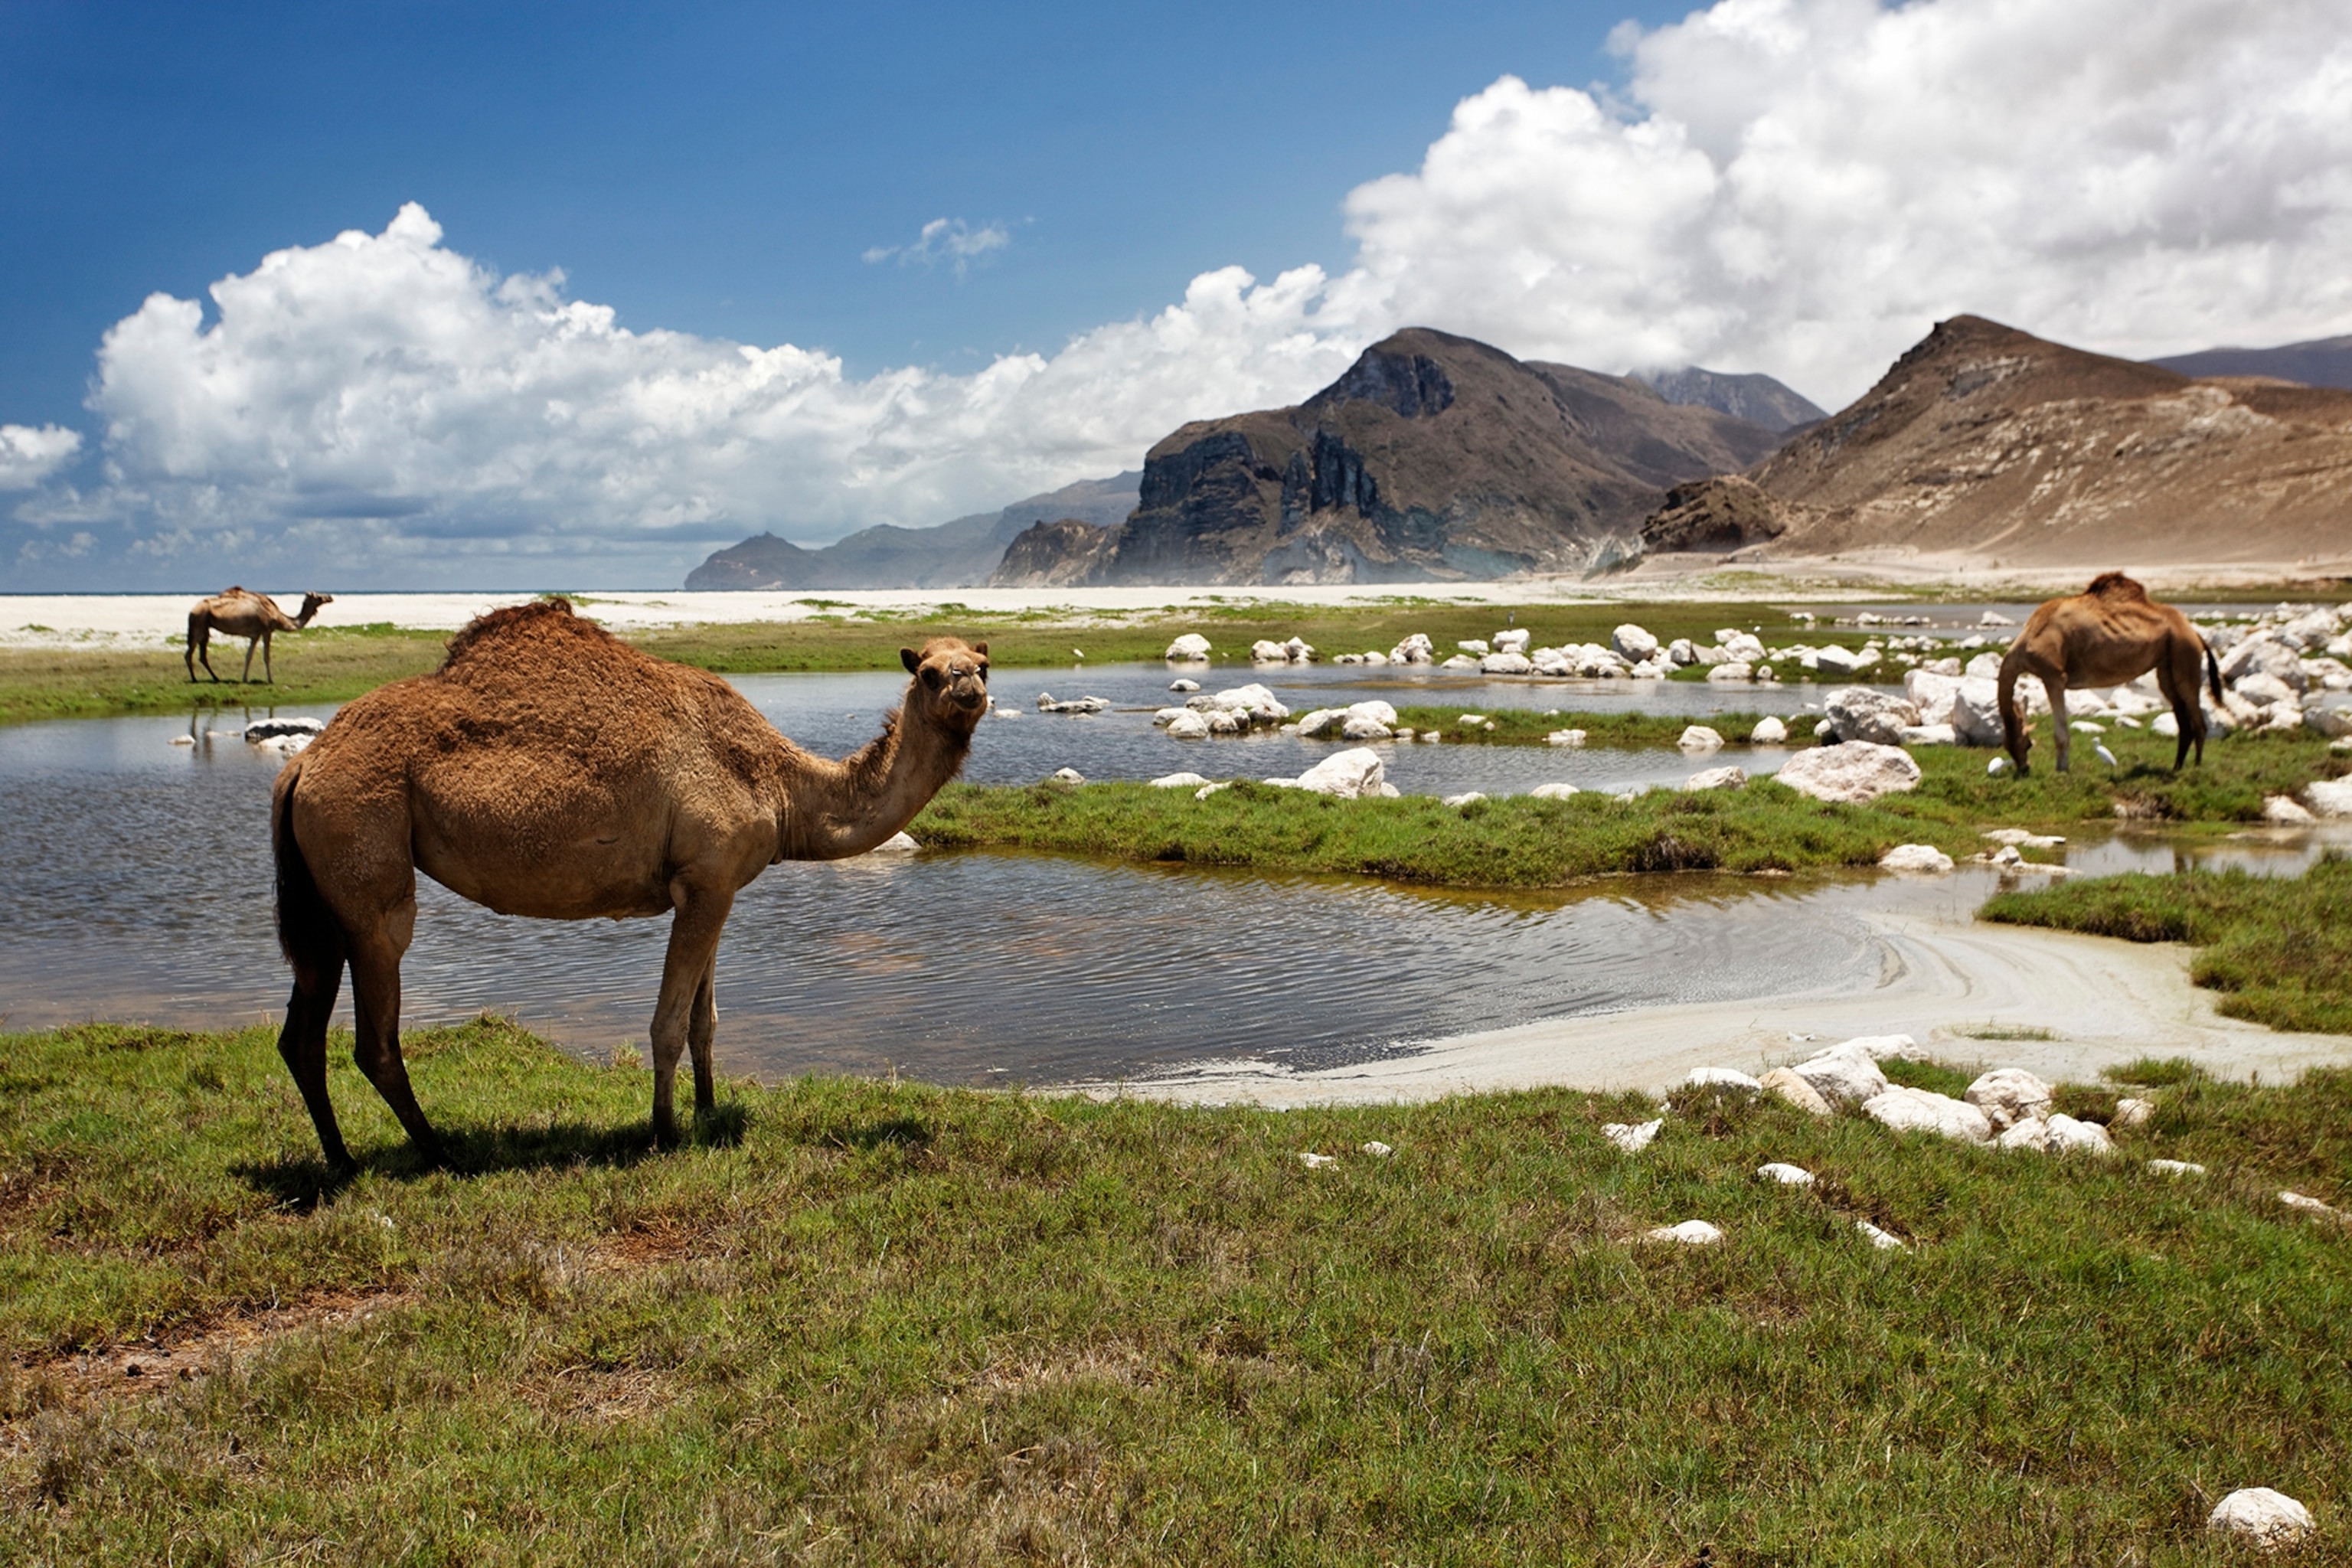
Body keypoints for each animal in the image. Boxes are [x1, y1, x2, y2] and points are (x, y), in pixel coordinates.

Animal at [185, 587, 334, 683]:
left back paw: (215, 678)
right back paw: (195, 679)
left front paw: (245, 679)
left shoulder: (255, 635)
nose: (330, 597)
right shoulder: (266, 631)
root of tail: (192, 611)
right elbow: (266, 657)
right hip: (199, 623)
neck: (279, 617)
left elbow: (248, 656)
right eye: (319, 597)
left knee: (201, 655)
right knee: (189, 653)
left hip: (204, 627)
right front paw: (270, 680)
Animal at [269, 598, 988, 1172]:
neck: (782, 787)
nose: (968, 692)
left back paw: (342, 1162)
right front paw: (663, 1131)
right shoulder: (705, 880)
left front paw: (708, 1113)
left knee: (301, 1032)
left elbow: (705, 1020)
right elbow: (668, 1023)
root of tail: (304, 765)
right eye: (928, 672)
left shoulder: (715, 886)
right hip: (364, 852)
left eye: (981, 665)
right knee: (375, 1031)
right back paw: (441, 1152)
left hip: (322, 892)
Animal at [1998, 572, 2223, 774]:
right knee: (2181, 717)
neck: (2030, 638)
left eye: (2028, 744)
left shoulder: (2053, 675)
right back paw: (2176, 767)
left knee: (2197, 718)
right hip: (2167, 666)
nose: (2024, 768)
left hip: (2186, 655)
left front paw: (2062, 770)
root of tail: (2196, 635)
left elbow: (2061, 734)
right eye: (2006, 746)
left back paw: (2196, 768)